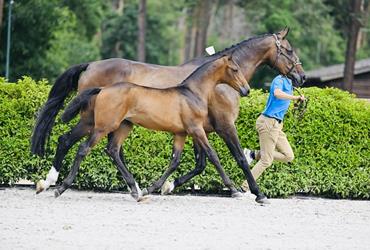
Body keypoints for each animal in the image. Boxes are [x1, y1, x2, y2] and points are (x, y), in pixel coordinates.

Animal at [55, 54, 250, 201]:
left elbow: (174, 161)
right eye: (235, 69)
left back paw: (136, 190)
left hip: (123, 126)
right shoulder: (196, 129)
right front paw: (234, 190)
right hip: (103, 127)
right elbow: (213, 156)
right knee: (83, 148)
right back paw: (61, 187)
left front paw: (153, 188)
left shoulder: (181, 133)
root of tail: (102, 89)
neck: (192, 93)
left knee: (112, 150)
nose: (246, 90)